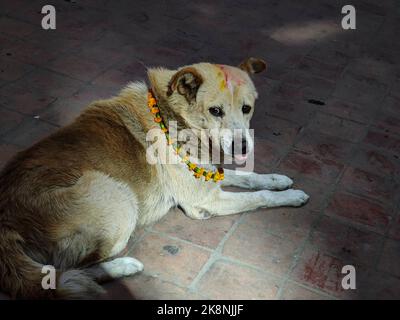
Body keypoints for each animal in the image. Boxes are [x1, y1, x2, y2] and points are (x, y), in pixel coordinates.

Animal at [0, 56, 310, 298]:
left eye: (247, 109)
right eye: (215, 111)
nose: (243, 147)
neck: (174, 115)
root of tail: (6, 221)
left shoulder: (208, 177)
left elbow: (249, 177)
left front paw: (279, 179)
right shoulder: (205, 200)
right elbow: (259, 197)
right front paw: (292, 196)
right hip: (118, 196)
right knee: (68, 271)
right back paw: (123, 266)